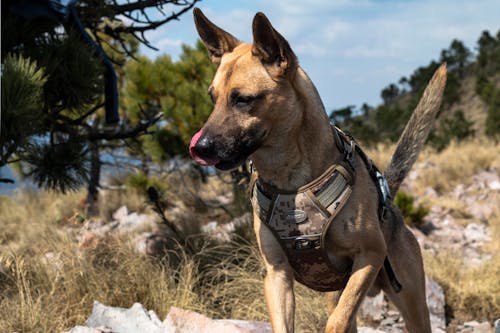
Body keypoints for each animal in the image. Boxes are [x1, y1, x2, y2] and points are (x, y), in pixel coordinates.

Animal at [189, 8, 448, 332]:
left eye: (243, 99)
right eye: (213, 98)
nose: (199, 148)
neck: (290, 180)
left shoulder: (370, 256)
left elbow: (336, 322)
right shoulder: (277, 276)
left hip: (411, 301)